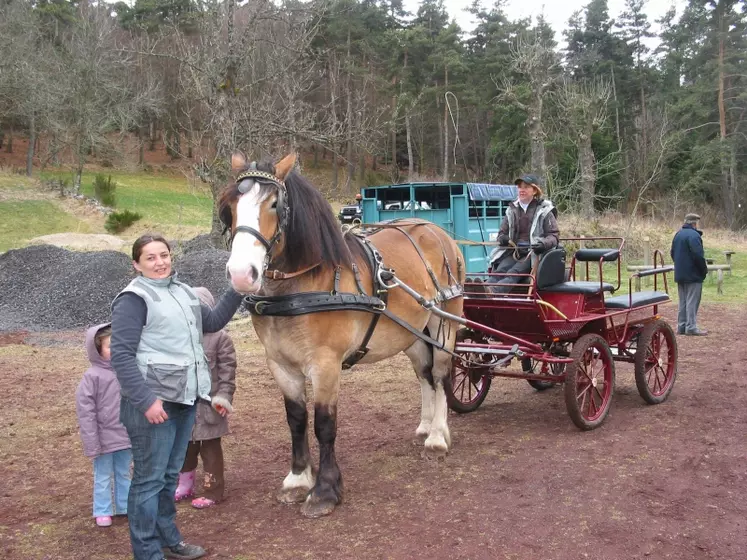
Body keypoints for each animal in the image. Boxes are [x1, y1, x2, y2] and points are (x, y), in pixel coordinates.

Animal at [221, 152, 468, 516]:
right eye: (229, 207)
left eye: (275, 204)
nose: (241, 274)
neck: (305, 286)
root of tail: (437, 230)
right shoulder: (279, 364)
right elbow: (296, 419)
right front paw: (298, 479)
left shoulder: (326, 364)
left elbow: (324, 424)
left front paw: (325, 490)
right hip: (411, 332)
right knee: (424, 375)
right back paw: (425, 427)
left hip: (443, 322)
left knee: (439, 374)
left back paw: (437, 436)